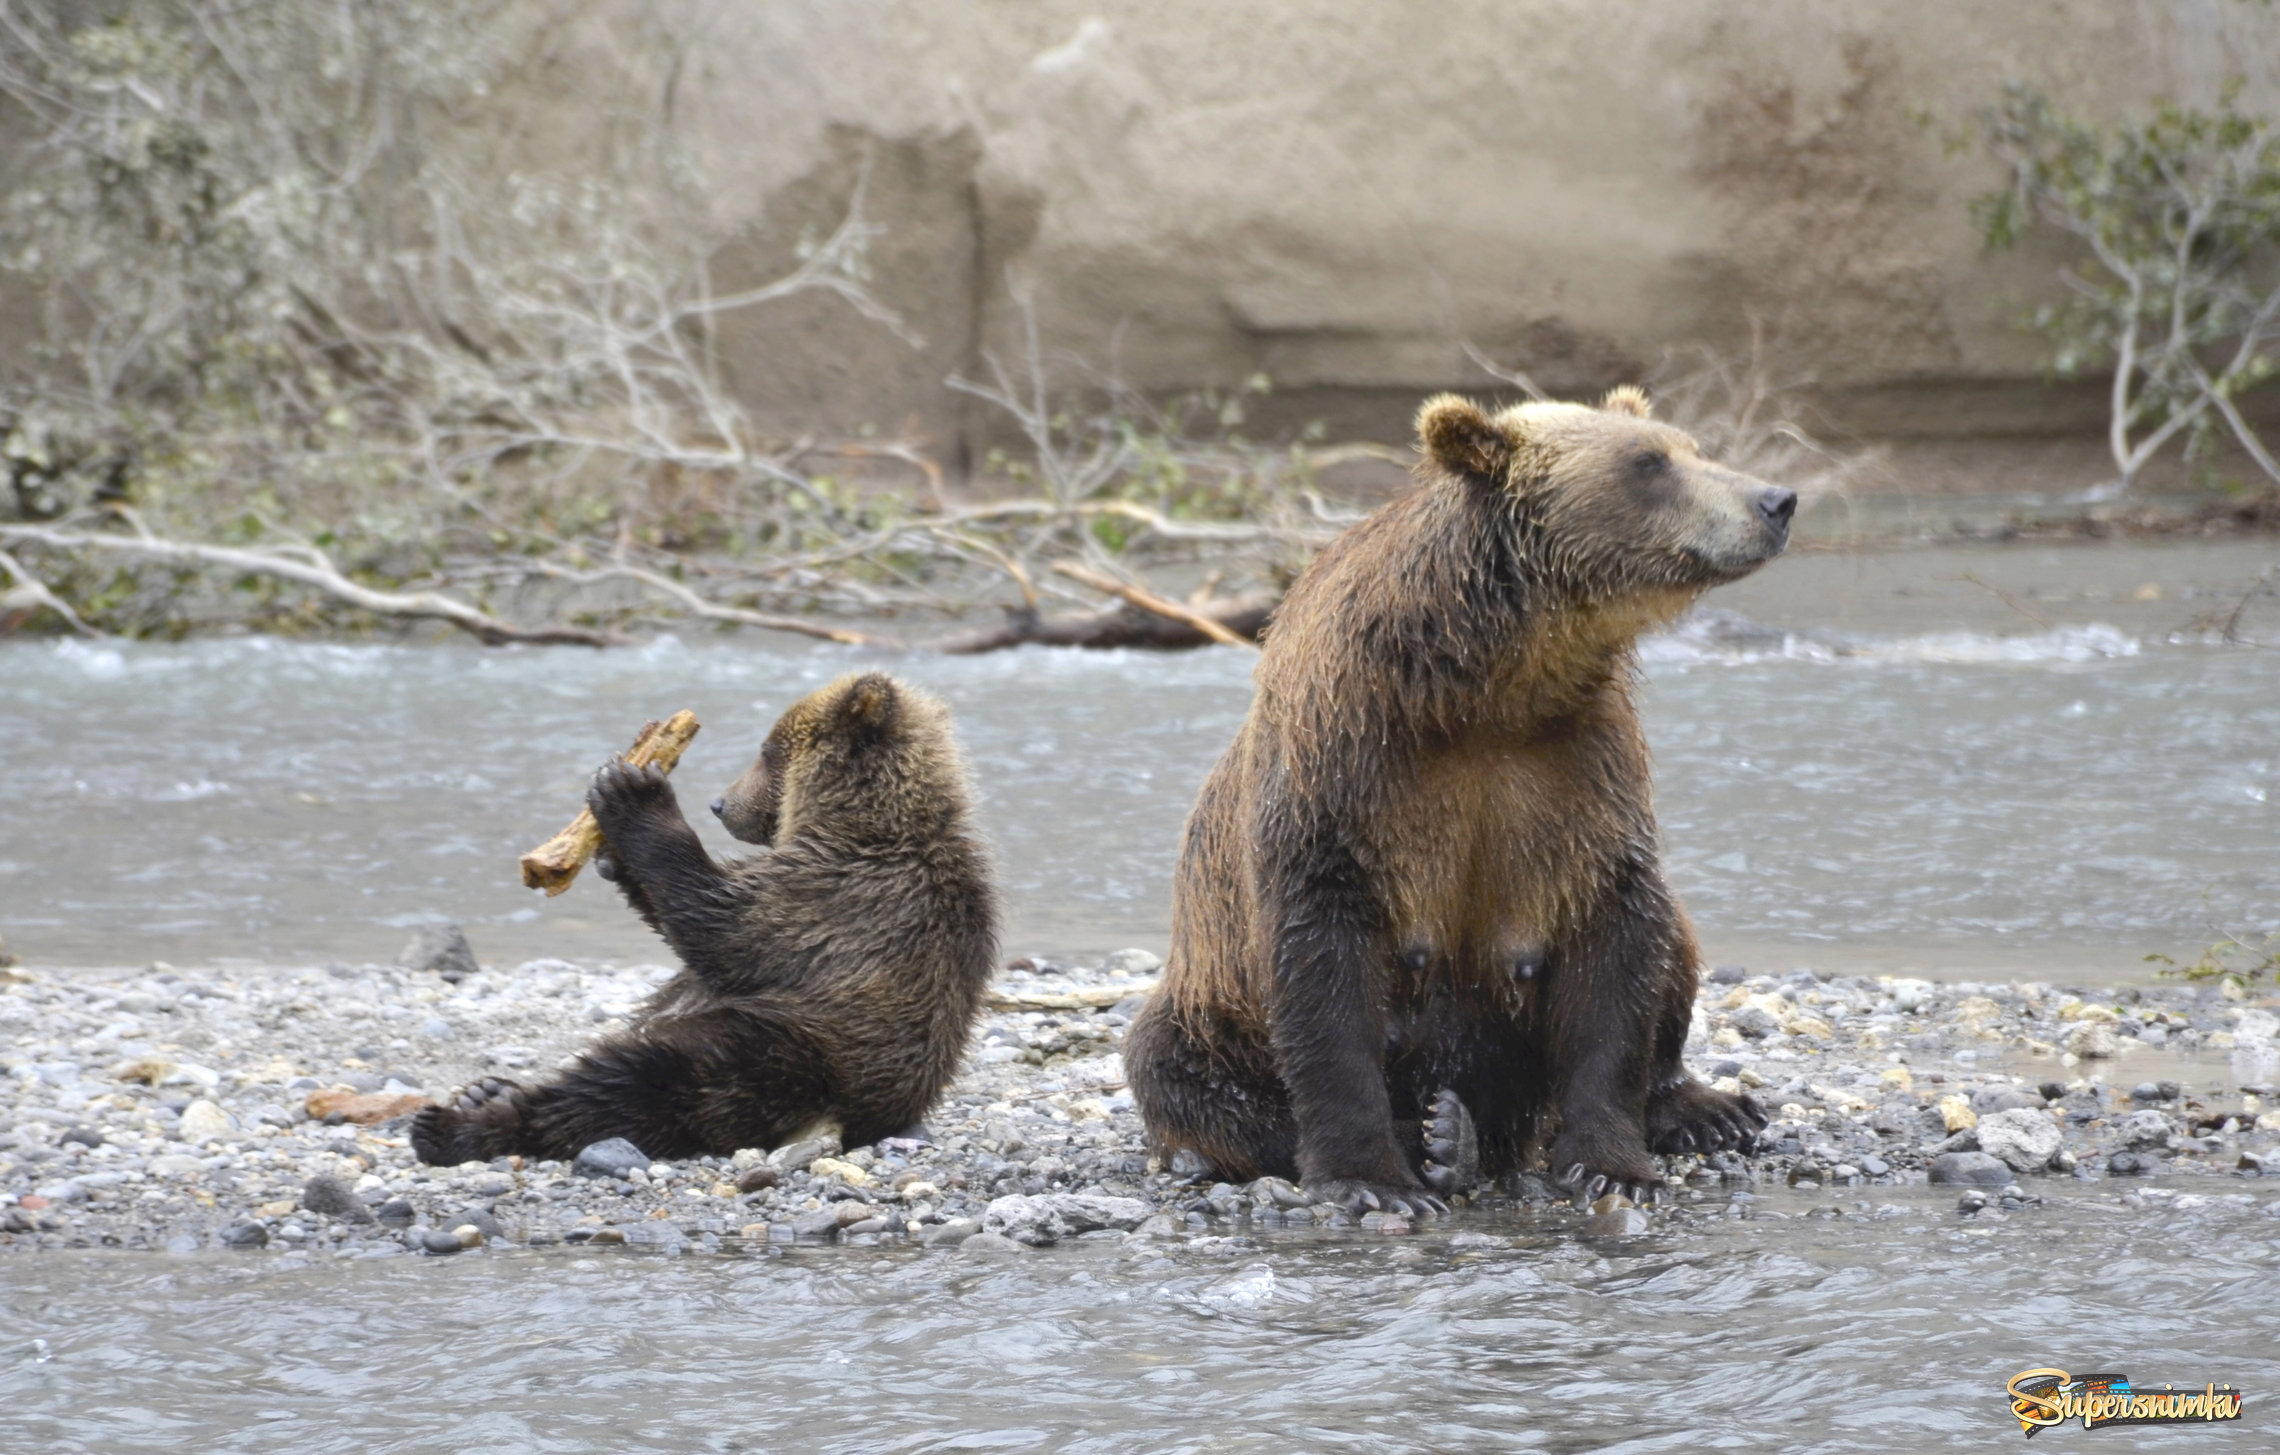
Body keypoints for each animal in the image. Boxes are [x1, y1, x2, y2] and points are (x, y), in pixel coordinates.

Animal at [412, 679, 998, 1167]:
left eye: (767, 752)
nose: (719, 803)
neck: (857, 822)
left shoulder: (843, 897)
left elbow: (722, 930)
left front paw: (631, 791)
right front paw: (611, 849)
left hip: (781, 1052)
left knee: (634, 1086)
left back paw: (455, 1124)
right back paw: (485, 1090)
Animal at [1130, 387, 1787, 1222]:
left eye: (1690, 447)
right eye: (1648, 462)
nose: (1775, 500)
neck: (1489, 682)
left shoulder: (1581, 769)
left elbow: (1618, 946)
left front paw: (1612, 1163)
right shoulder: (1347, 764)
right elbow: (1323, 965)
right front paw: (1373, 1178)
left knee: (1675, 941)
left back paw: (1696, 1109)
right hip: (1208, 1004)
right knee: (1184, 1075)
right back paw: (1439, 1137)